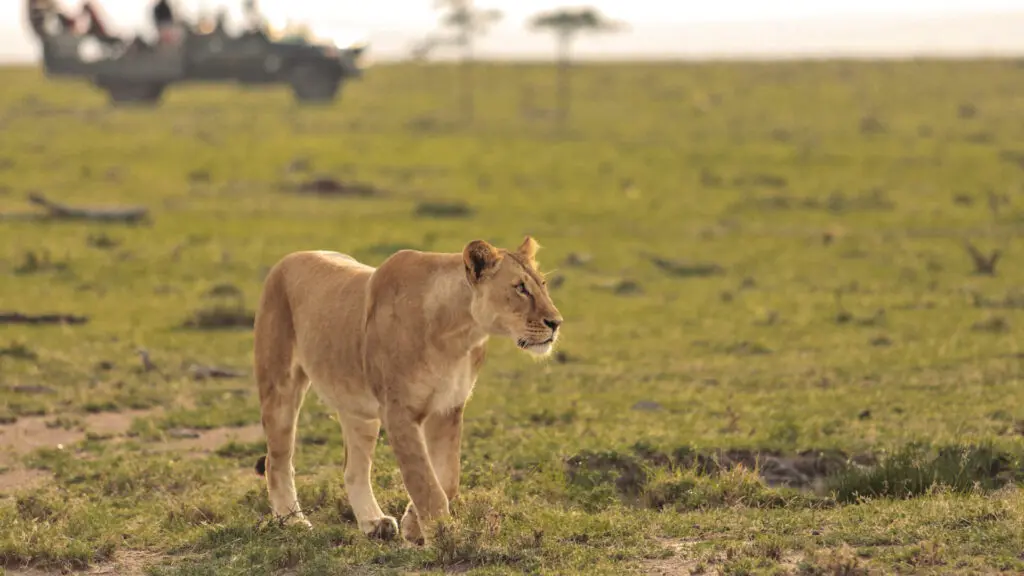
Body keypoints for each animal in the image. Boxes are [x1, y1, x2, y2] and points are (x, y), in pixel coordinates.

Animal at [251, 236, 563, 544]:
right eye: (520, 287)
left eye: (542, 284)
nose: (556, 323)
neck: (458, 333)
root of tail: (290, 258)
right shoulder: (398, 411)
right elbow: (423, 479)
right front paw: (444, 537)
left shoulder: (448, 407)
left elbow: (446, 478)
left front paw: (414, 525)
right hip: (280, 386)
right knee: (277, 461)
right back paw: (293, 521)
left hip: (359, 409)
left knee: (354, 469)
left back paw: (374, 523)